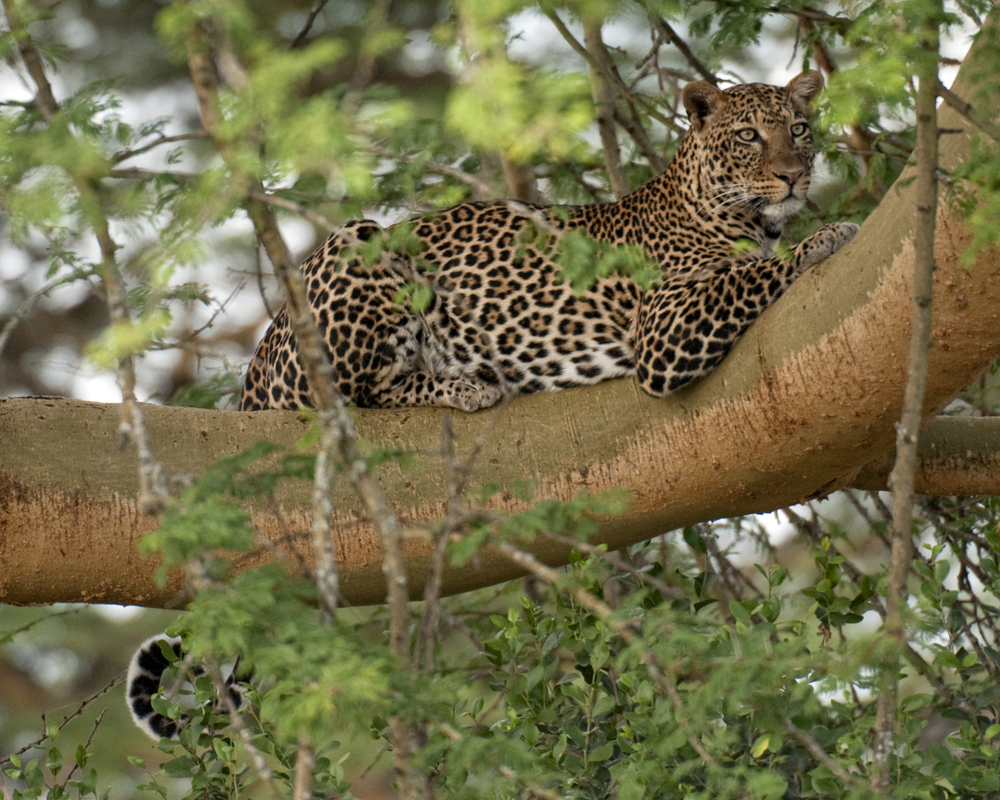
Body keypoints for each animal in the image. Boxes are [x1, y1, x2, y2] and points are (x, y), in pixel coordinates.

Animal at [236, 72, 860, 416]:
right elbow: (751, 275)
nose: (792, 176)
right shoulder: (664, 326)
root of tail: (254, 371)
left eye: (798, 129)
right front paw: (828, 236)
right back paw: (466, 386)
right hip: (358, 241)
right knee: (352, 397)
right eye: (749, 136)